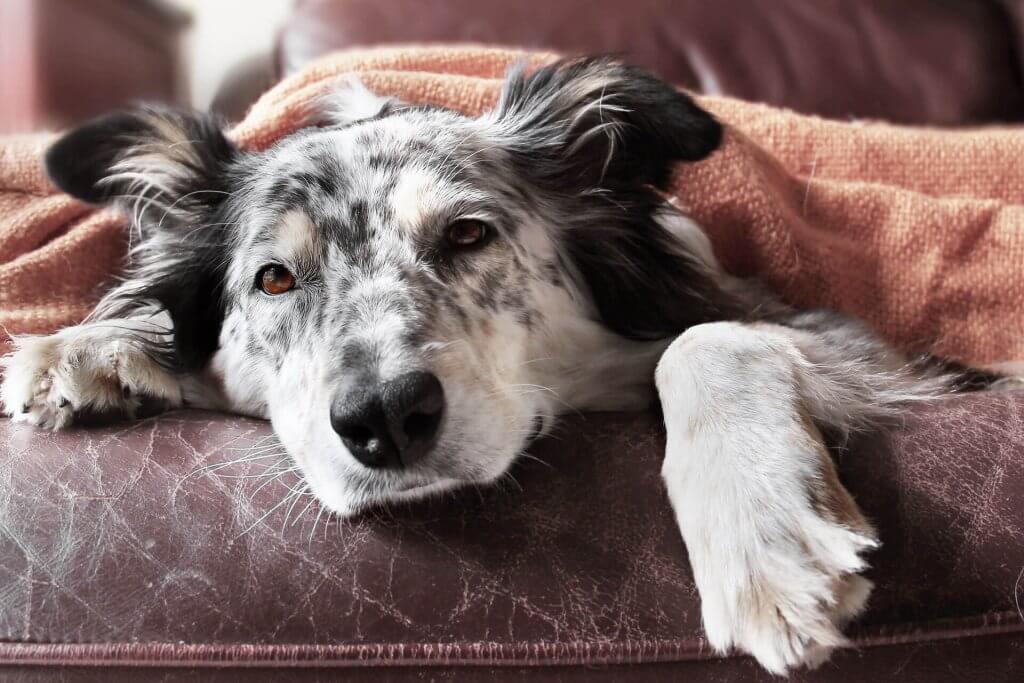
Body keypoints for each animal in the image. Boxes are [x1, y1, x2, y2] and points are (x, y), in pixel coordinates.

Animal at [0, 57, 995, 671]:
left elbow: (704, 338)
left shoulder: (860, 342)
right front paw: (89, 347)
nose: (385, 418)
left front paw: (764, 542)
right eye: (274, 278)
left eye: (469, 234)